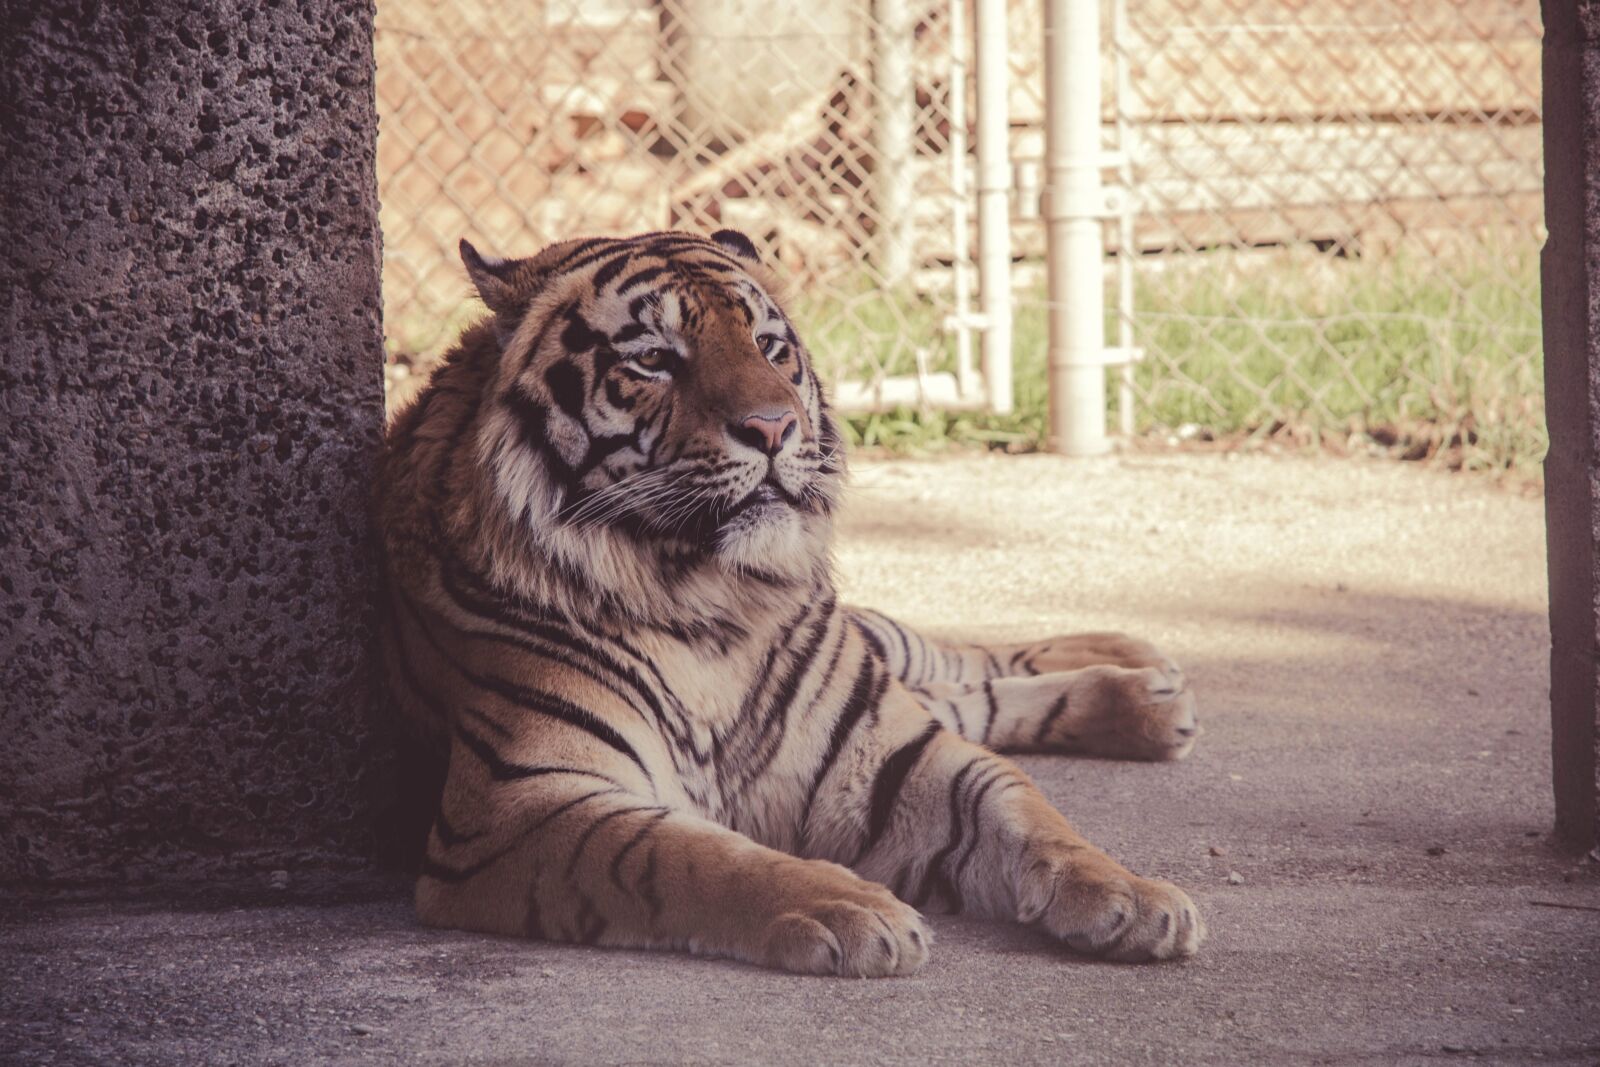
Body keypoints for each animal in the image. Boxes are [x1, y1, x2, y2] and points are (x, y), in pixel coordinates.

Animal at [375, 228, 1205, 976]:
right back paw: (1151, 698)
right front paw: (852, 907)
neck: (714, 604)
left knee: (956, 661)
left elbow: (1023, 808)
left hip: (878, 655)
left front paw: (1132, 894)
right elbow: (685, 855)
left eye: (770, 346)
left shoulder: (894, 753)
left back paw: (1139, 670)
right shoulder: (520, 807)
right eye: (653, 359)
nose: (775, 428)